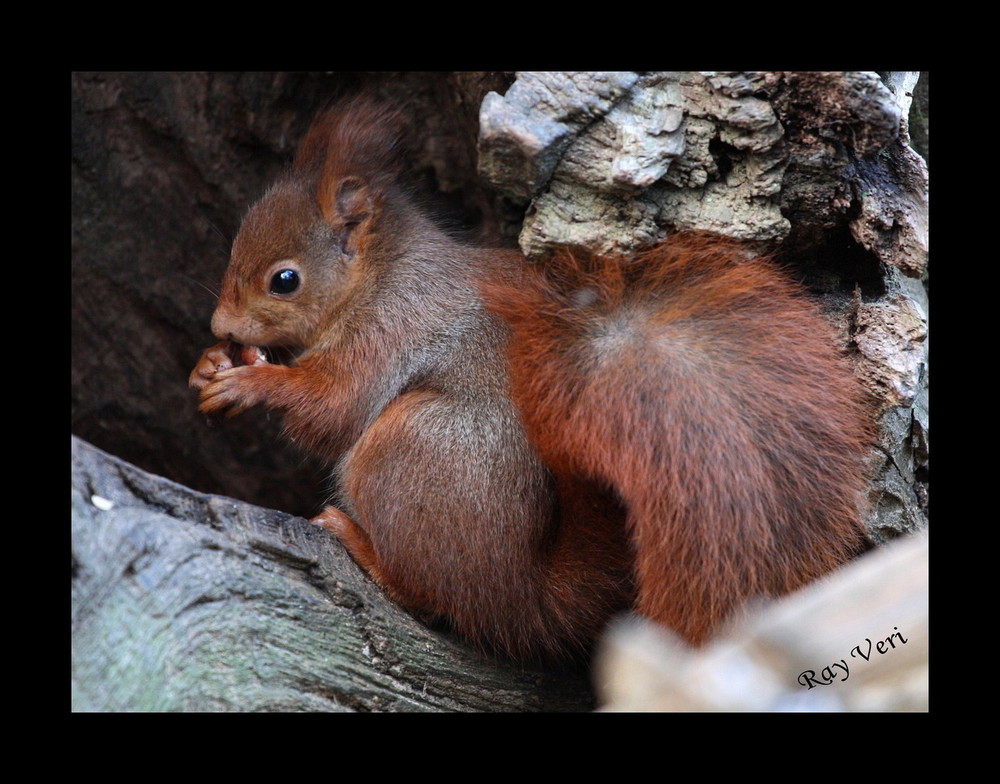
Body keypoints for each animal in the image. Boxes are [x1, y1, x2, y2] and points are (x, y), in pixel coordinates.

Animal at [188, 96, 868, 660]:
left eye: (285, 280)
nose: (220, 323)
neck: (379, 273)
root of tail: (525, 596)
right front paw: (212, 364)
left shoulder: (393, 329)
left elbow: (333, 409)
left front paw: (254, 383)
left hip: (413, 446)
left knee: (432, 599)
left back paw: (361, 545)